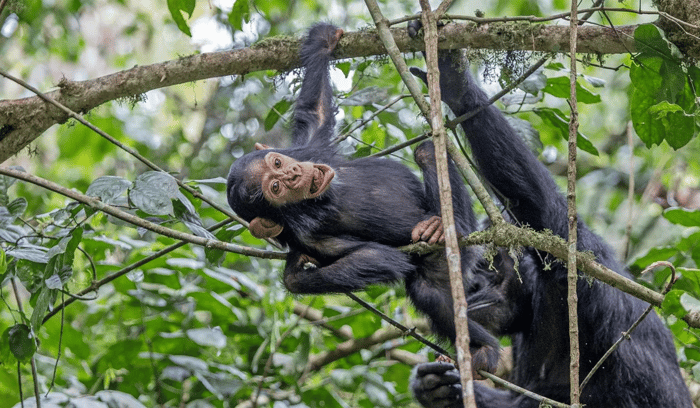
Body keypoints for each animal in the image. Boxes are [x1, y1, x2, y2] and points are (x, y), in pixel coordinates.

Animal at [228, 23, 504, 376]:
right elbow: (369, 257)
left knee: (426, 152)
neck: (317, 200)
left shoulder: (308, 148)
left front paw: (323, 40)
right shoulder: (309, 237)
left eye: (276, 164)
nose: (292, 174)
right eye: (275, 188)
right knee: (431, 294)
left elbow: (315, 112)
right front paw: (298, 271)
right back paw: (483, 346)